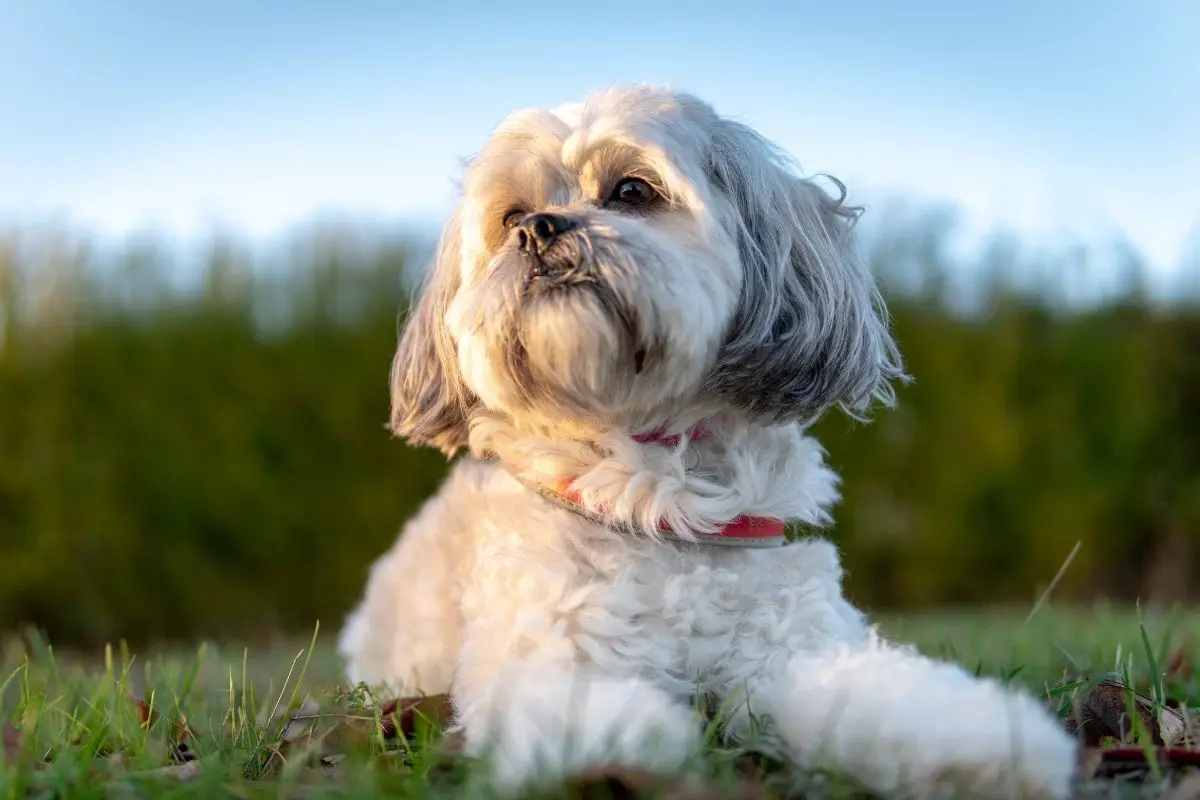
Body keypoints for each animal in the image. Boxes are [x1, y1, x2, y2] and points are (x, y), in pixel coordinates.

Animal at [338, 84, 1080, 796]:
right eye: (509, 215)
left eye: (631, 191)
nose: (537, 229)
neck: (660, 496)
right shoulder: (548, 641)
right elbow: (579, 705)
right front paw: (616, 747)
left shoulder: (797, 648)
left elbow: (882, 698)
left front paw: (981, 747)